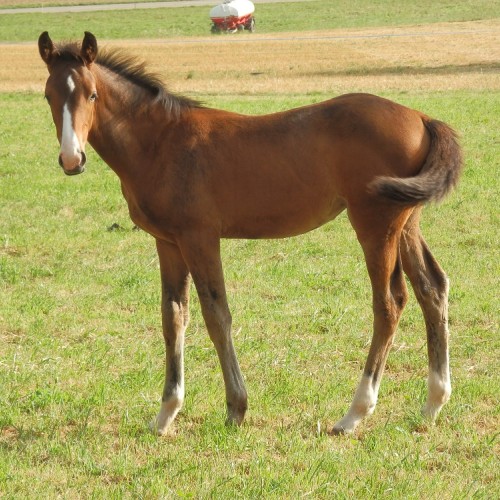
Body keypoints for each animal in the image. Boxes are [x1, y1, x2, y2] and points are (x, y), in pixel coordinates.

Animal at [37, 31, 462, 436]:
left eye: (92, 94)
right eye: (48, 95)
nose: (72, 159)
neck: (159, 143)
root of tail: (421, 117)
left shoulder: (200, 238)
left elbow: (216, 315)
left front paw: (236, 408)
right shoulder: (168, 242)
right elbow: (173, 317)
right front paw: (165, 415)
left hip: (375, 224)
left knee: (389, 303)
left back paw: (354, 414)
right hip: (406, 222)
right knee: (432, 288)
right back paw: (433, 404)